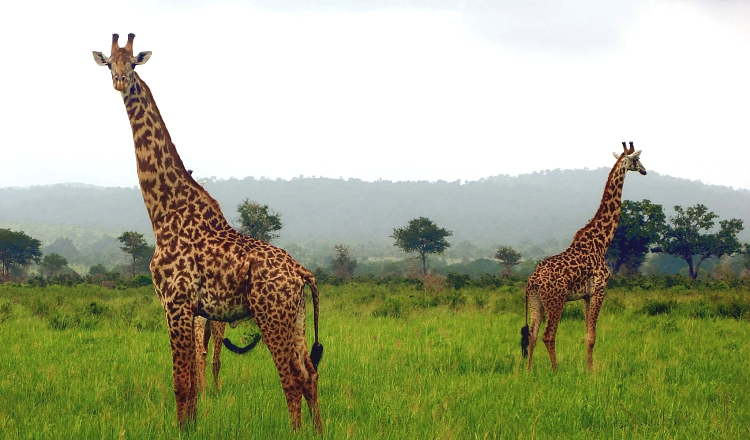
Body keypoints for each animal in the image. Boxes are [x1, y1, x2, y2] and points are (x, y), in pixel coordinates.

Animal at [93, 34, 323, 432]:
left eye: (133, 64)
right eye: (110, 63)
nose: (120, 82)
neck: (164, 212)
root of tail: (301, 273)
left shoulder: (176, 301)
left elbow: (181, 383)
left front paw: (182, 430)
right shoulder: (188, 308)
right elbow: (191, 382)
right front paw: (193, 427)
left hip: (271, 314)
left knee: (292, 379)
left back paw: (296, 433)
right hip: (295, 316)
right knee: (309, 375)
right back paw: (319, 432)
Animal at [521, 142, 646, 372]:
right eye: (637, 159)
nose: (644, 170)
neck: (602, 242)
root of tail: (532, 280)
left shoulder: (586, 296)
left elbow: (587, 335)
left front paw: (588, 369)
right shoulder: (599, 290)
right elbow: (592, 337)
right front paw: (590, 372)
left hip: (536, 301)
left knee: (532, 334)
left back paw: (528, 371)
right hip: (556, 300)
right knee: (548, 335)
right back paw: (556, 371)